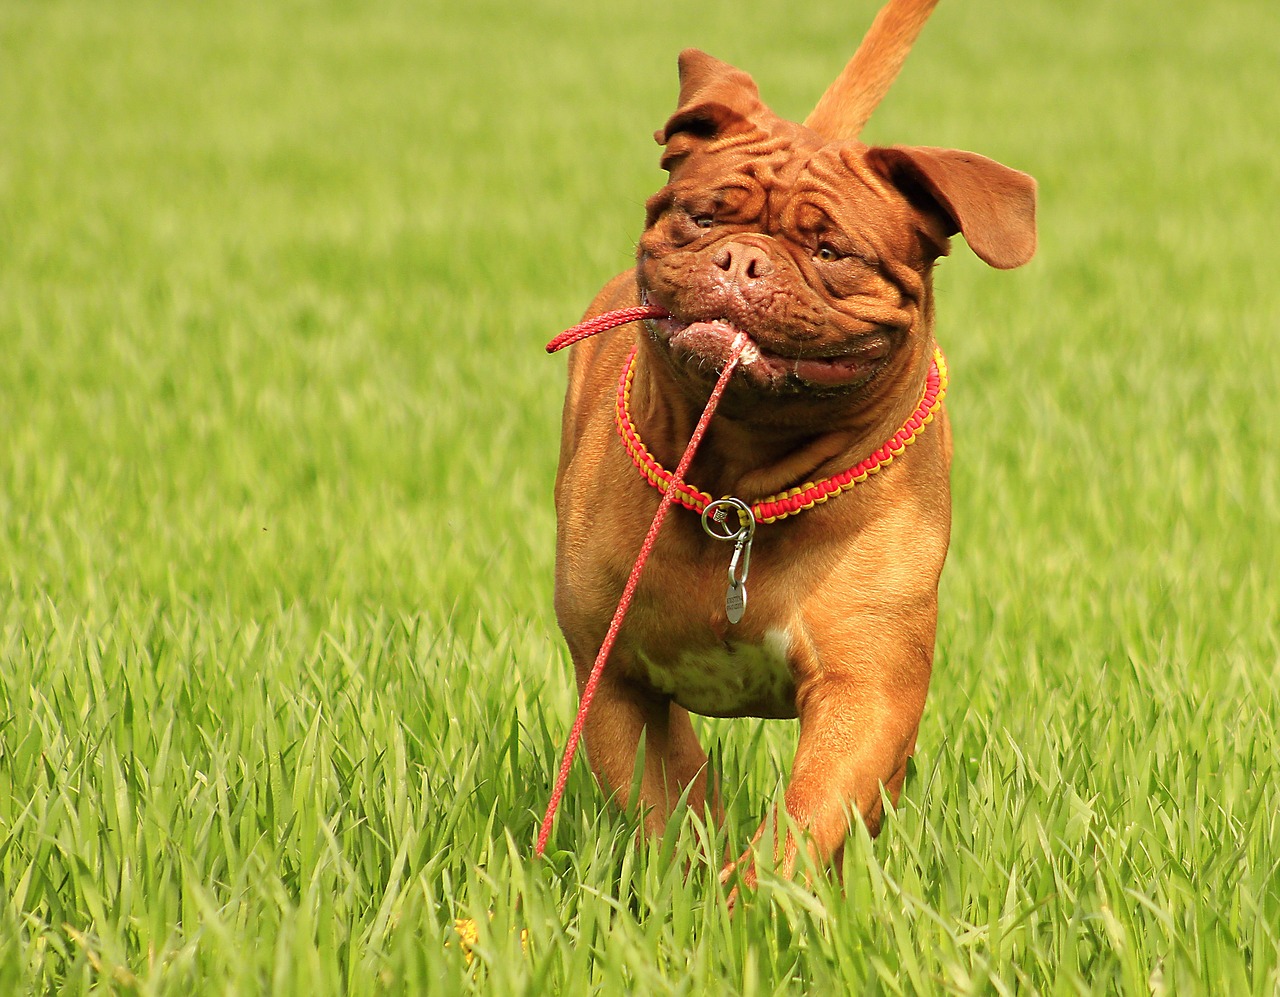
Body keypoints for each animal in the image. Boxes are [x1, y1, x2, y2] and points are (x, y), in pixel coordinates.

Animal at [552, 0, 1039, 890]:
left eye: (829, 250)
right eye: (702, 215)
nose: (742, 258)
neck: (740, 484)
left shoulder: (866, 692)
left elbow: (804, 821)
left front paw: (754, 903)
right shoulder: (618, 683)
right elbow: (674, 810)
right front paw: (689, 901)